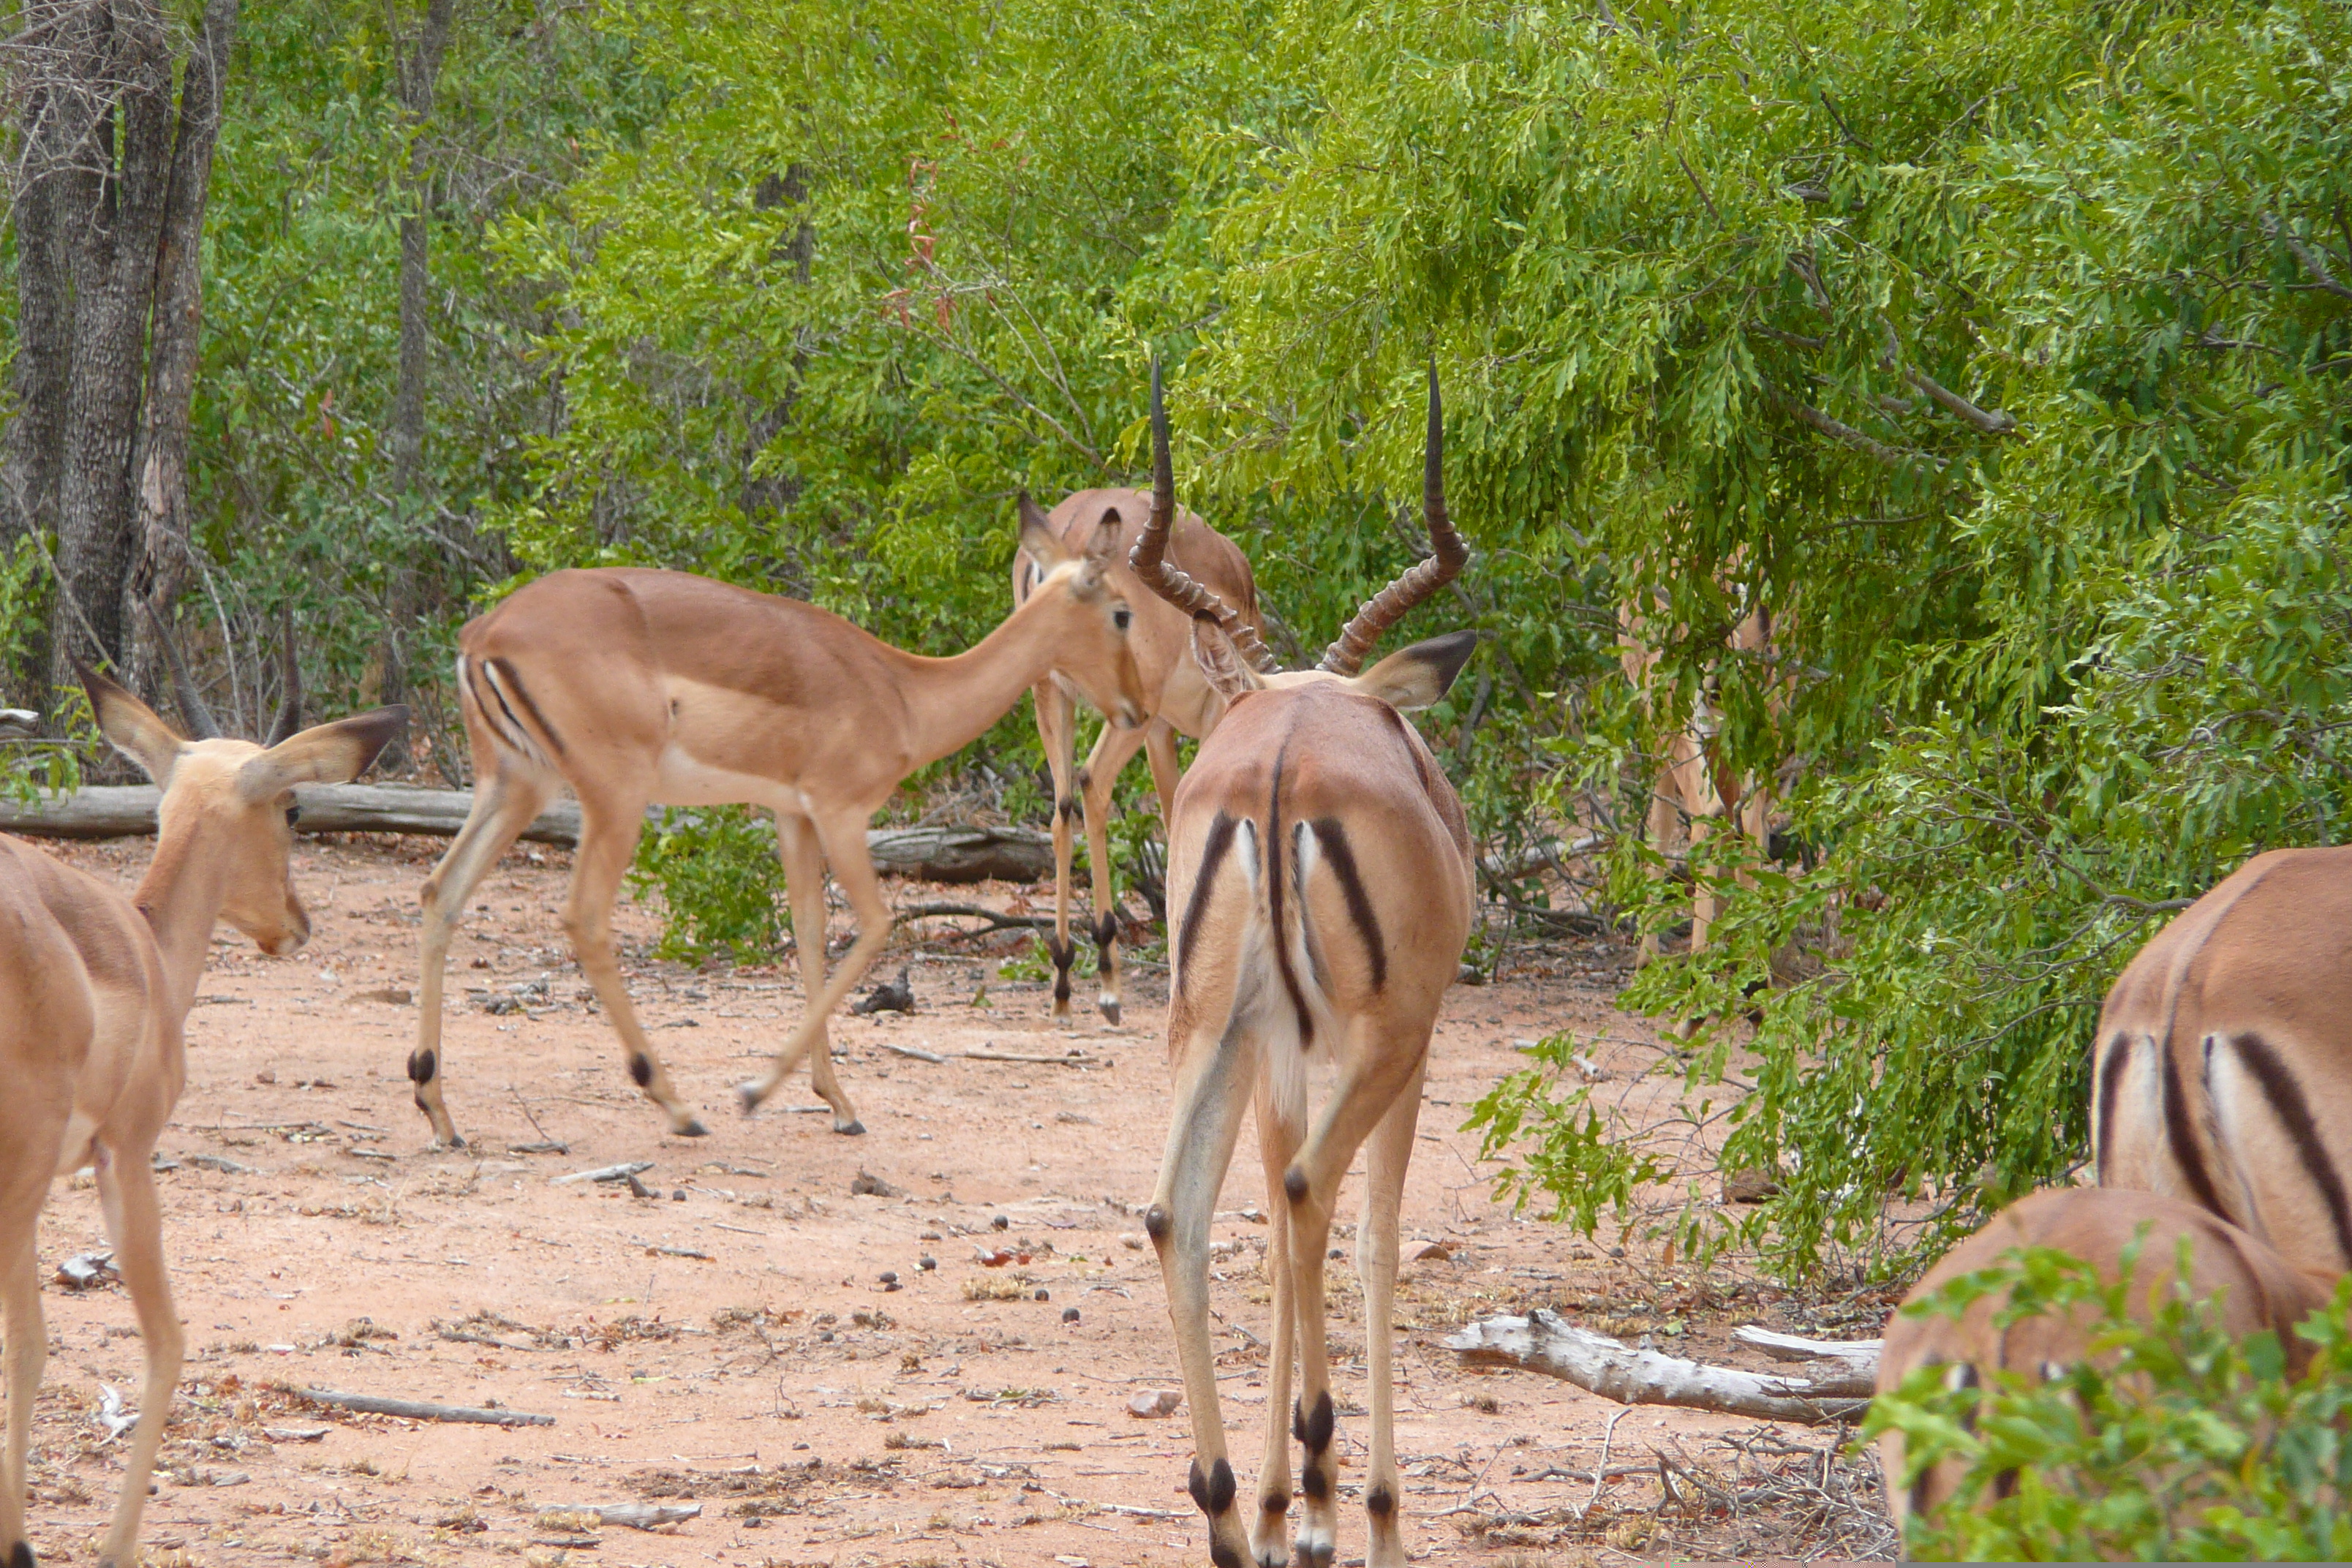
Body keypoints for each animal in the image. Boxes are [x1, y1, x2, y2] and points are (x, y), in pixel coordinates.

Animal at [411, 521, 1147, 1147]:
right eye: (1122, 611)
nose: (1138, 710)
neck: (904, 693)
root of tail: (484, 634)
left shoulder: (793, 816)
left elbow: (809, 933)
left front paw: (840, 1104)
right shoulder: (842, 813)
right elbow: (876, 924)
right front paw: (756, 1092)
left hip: (516, 785)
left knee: (440, 892)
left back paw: (438, 1110)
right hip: (613, 798)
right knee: (584, 919)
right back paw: (679, 1106)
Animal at [1011, 491, 1270, 1029]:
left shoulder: (1162, 732)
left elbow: (1174, 819)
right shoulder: (1201, 717)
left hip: (1052, 692)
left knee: (1062, 807)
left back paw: (1063, 983)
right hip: (1130, 709)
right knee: (1092, 781)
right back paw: (1109, 985)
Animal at [1134, 369, 1467, 1568]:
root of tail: (1276, 769)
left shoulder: (1274, 1042)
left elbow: (1276, 1246)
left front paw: (1282, 1509)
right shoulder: (1411, 1046)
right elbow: (1373, 1236)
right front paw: (1351, 1511)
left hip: (1205, 1029)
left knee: (1179, 1213)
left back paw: (1231, 1510)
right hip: (1380, 1039)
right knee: (1312, 1190)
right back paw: (1330, 1485)